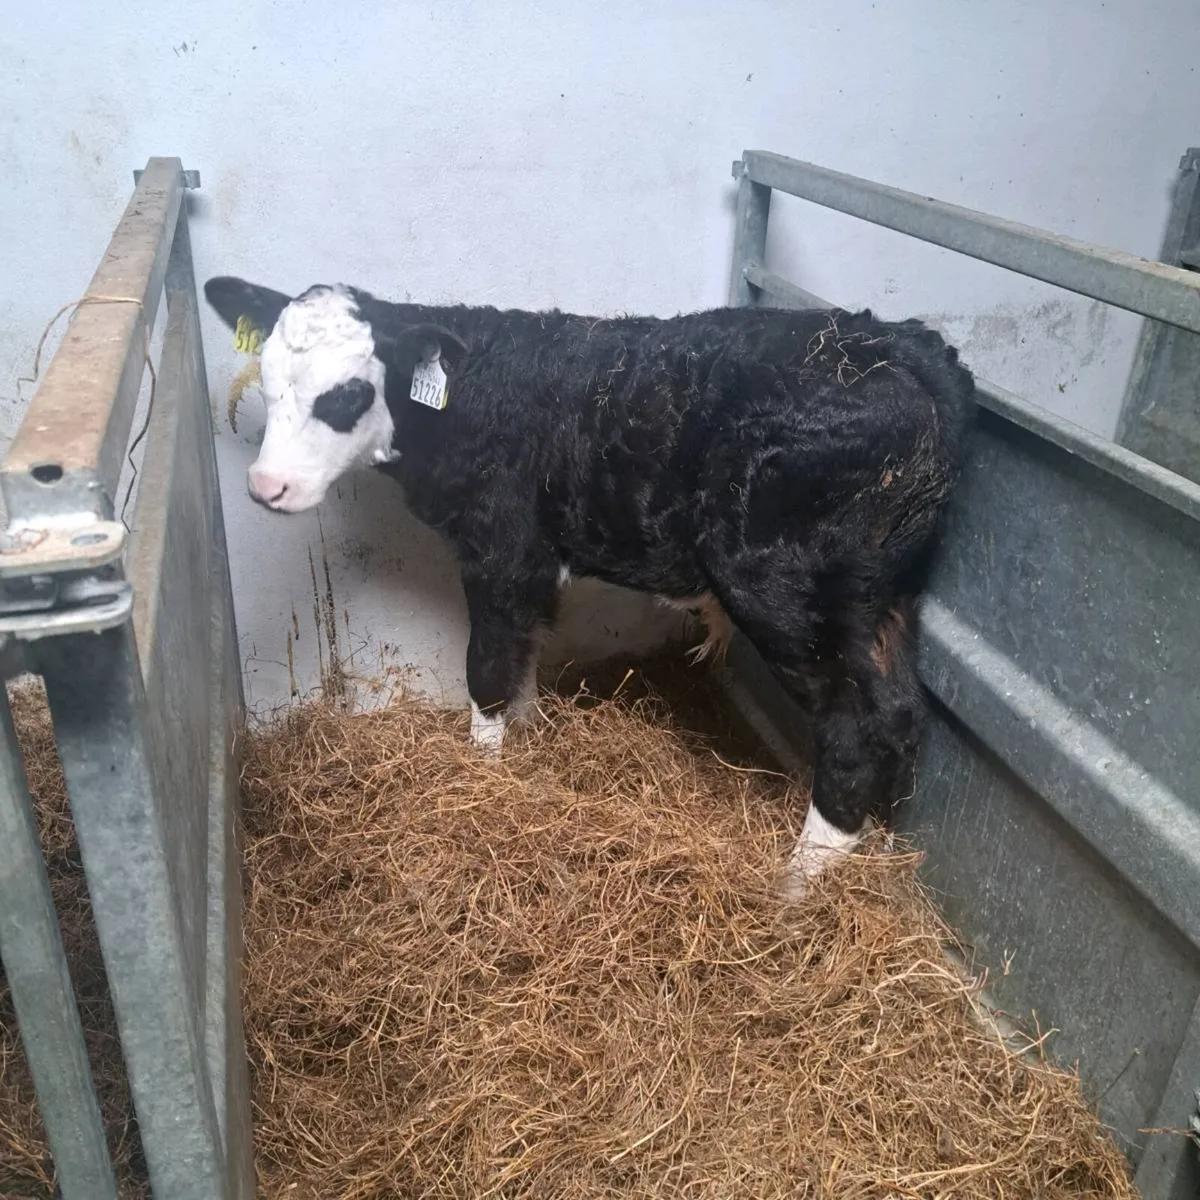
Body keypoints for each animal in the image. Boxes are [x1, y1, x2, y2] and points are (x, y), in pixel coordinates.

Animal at [203, 277, 975, 896]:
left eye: (349, 393)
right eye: (268, 379)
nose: (266, 486)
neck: (469, 396)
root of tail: (903, 346)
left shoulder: (502, 551)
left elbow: (487, 670)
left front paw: (484, 781)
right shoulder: (535, 564)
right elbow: (522, 662)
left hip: (780, 586)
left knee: (855, 723)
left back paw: (794, 888)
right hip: (881, 599)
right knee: (899, 713)